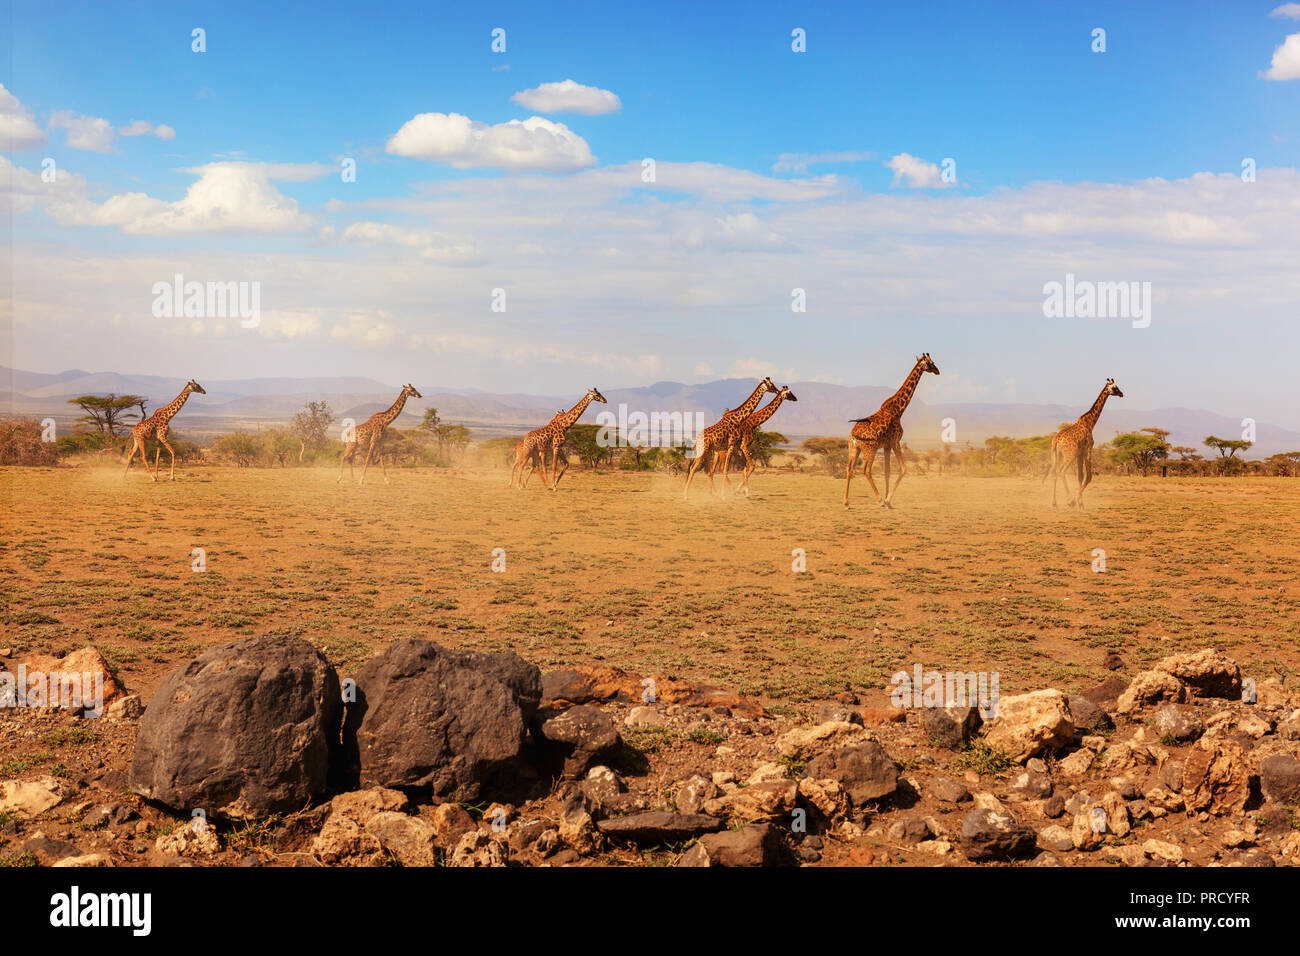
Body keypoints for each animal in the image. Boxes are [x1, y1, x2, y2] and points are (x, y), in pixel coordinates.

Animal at [837, 353, 941, 509]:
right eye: (930, 362)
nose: (937, 370)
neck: (899, 410)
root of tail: (853, 436)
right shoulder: (895, 441)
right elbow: (903, 469)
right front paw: (887, 500)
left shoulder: (886, 445)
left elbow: (887, 471)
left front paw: (889, 502)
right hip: (870, 449)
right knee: (866, 470)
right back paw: (879, 500)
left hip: (854, 448)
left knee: (849, 468)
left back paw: (846, 502)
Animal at [1040, 377, 1123, 509]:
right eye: (1115, 387)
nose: (1121, 394)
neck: (1090, 423)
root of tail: (1057, 440)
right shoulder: (1087, 449)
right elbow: (1088, 476)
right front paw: (1078, 501)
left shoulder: (1079, 453)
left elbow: (1080, 476)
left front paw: (1080, 502)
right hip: (1070, 454)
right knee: (1061, 471)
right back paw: (1069, 500)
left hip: (1057, 455)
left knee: (1054, 473)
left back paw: (1054, 502)